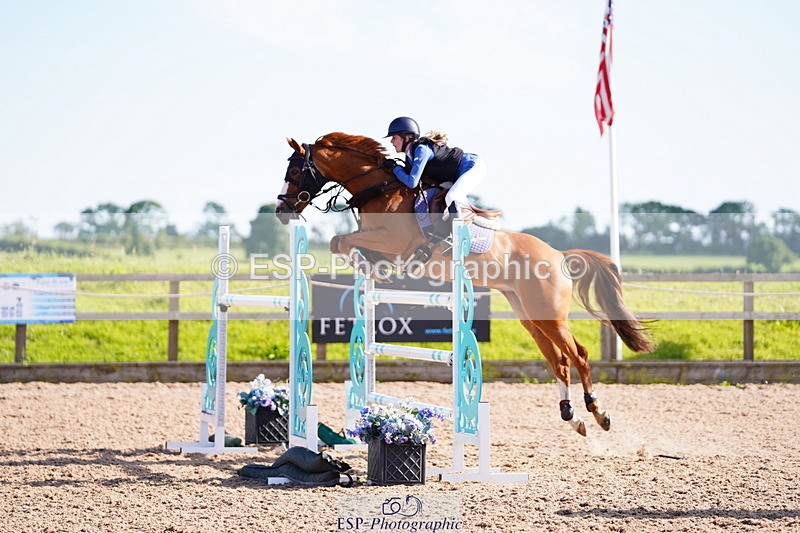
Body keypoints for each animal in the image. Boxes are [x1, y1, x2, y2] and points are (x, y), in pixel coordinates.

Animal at [275, 132, 654, 436]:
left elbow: (340, 240)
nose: (281, 212)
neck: (381, 190)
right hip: (530, 316)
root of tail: (559, 255)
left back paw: (598, 412)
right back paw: (572, 417)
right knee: (559, 360)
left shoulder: (395, 242)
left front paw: (368, 264)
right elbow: (342, 242)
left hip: (551, 315)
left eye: (294, 171)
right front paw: (369, 265)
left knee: (579, 355)